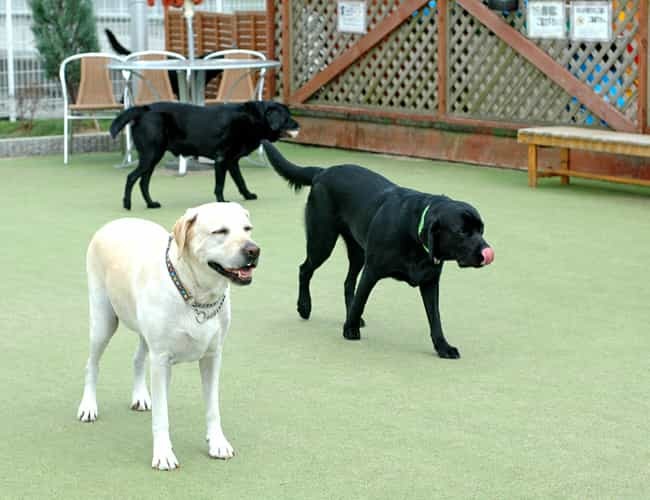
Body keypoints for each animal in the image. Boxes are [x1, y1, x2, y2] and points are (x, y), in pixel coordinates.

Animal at [108, 100, 298, 210]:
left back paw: (151, 203)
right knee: (131, 177)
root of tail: (145, 109)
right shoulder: (222, 160)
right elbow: (220, 185)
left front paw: (248, 195)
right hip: (151, 155)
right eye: (287, 118)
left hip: (153, 158)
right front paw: (222, 203)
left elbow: (240, 181)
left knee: (143, 182)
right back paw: (127, 204)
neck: (252, 118)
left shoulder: (232, 161)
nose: (299, 125)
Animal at [258, 141, 492, 360]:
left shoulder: (430, 281)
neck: (413, 231)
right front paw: (349, 329)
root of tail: (323, 171)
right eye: (462, 232)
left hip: (357, 252)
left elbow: (435, 318)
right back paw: (305, 306)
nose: (487, 251)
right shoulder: (372, 271)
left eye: (481, 229)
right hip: (322, 242)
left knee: (348, 282)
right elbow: (361, 300)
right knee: (305, 269)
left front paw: (443, 346)